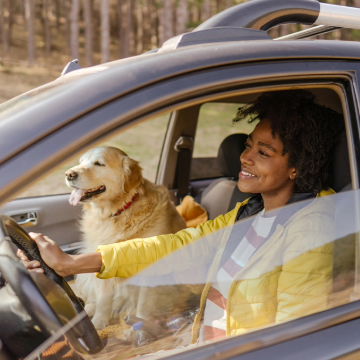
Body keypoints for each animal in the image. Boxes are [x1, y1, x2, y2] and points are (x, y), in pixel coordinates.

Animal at [64, 146, 186, 330]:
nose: (68, 174)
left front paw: (141, 326)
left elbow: (144, 303)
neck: (118, 212)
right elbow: (103, 298)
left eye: (99, 163)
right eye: (81, 162)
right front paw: (99, 322)